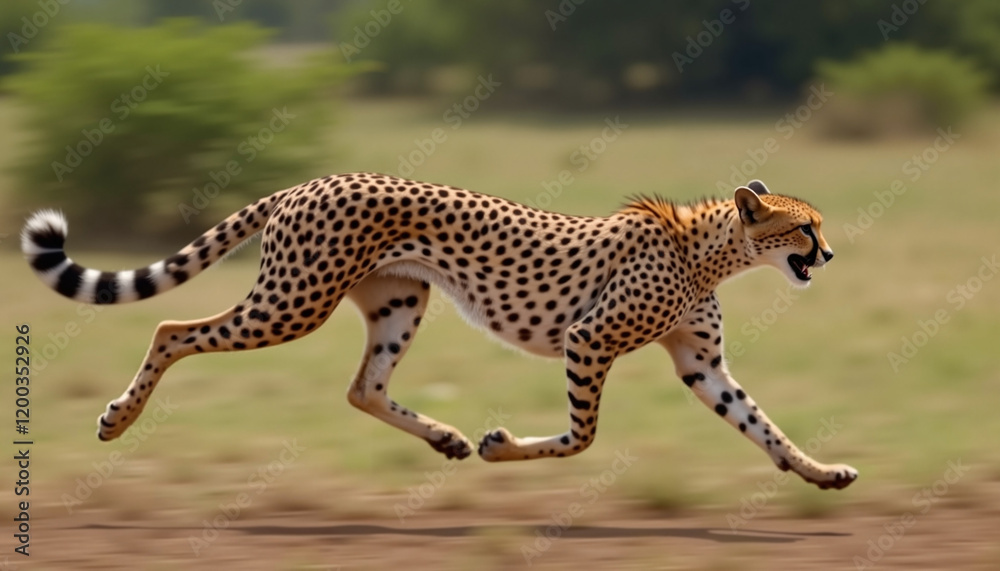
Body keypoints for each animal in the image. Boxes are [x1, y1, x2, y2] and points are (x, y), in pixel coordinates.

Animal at [21, 173, 857, 490]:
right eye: (805, 227)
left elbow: (762, 424)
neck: (708, 247)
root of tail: (310, 181)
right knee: (171, 325)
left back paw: (445, 439)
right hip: (292, 301)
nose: (830, 254)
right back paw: (117, 418)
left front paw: (822, 472)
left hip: (398, 301)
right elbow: (582, 435)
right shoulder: (589, 339)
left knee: (363, 386)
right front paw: (501, 445)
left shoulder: (700, 363)